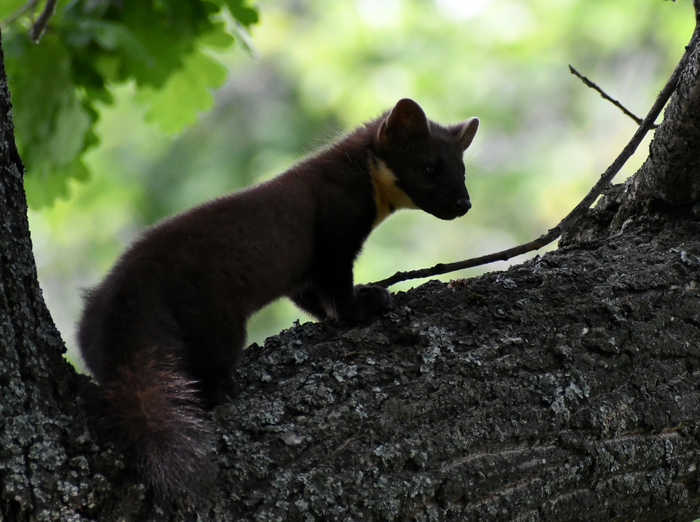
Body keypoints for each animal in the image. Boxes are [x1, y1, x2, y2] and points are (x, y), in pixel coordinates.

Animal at [77, 98, 479, 501]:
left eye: (462, 169)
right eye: (429, 167)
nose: (464, 203)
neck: (358, 184)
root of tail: (125, 284)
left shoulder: (302, 273)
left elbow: (311, 300)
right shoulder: (335, 232)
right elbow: (337, 291)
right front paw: (369, 302)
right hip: (214, 314)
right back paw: (225, 390)